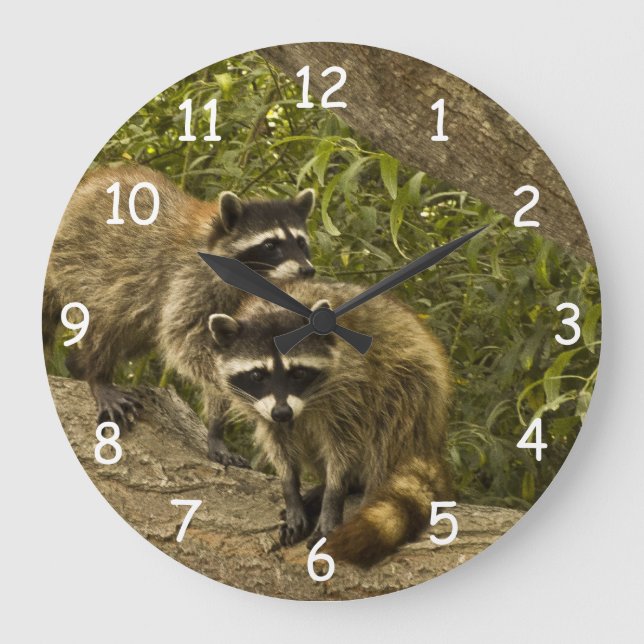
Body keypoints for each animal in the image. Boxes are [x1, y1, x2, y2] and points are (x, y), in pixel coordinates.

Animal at [43, 164, 315, 466]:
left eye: (301, 242)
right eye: (270, 245)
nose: (307, 270)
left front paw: (216, 429)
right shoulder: (190, 277)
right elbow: (185, 340)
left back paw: (78, 365)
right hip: (81, 260)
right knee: (110, 313)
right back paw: (98, 375)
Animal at [208, 279, 453, 565]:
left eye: (298, 373)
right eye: (258, 375)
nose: (283, 413)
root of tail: (432, 439)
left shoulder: (350, 387)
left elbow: (343, 446)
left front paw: (333, 495)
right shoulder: (263, 407)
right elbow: (278, 443)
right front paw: (290, 490)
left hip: (415, 385)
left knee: (390, 421)